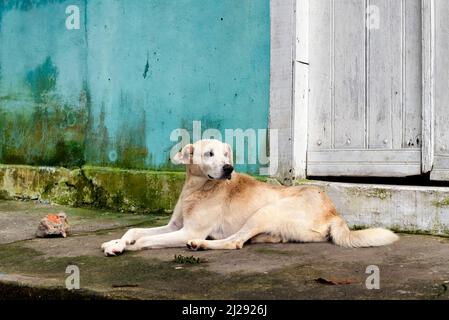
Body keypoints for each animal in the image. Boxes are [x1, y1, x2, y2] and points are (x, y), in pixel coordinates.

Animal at [100, 139, 398, 256]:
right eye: (209, 153)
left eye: (226, 154)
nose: (229, 168)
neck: (197, 189)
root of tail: (334, 212)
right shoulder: (175, 225)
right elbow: (134, 230)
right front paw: (115, 242)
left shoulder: (186, 231)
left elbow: (145, 240)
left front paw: (126, 247)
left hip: (264, 212)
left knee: (235, 242)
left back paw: (201, 245)